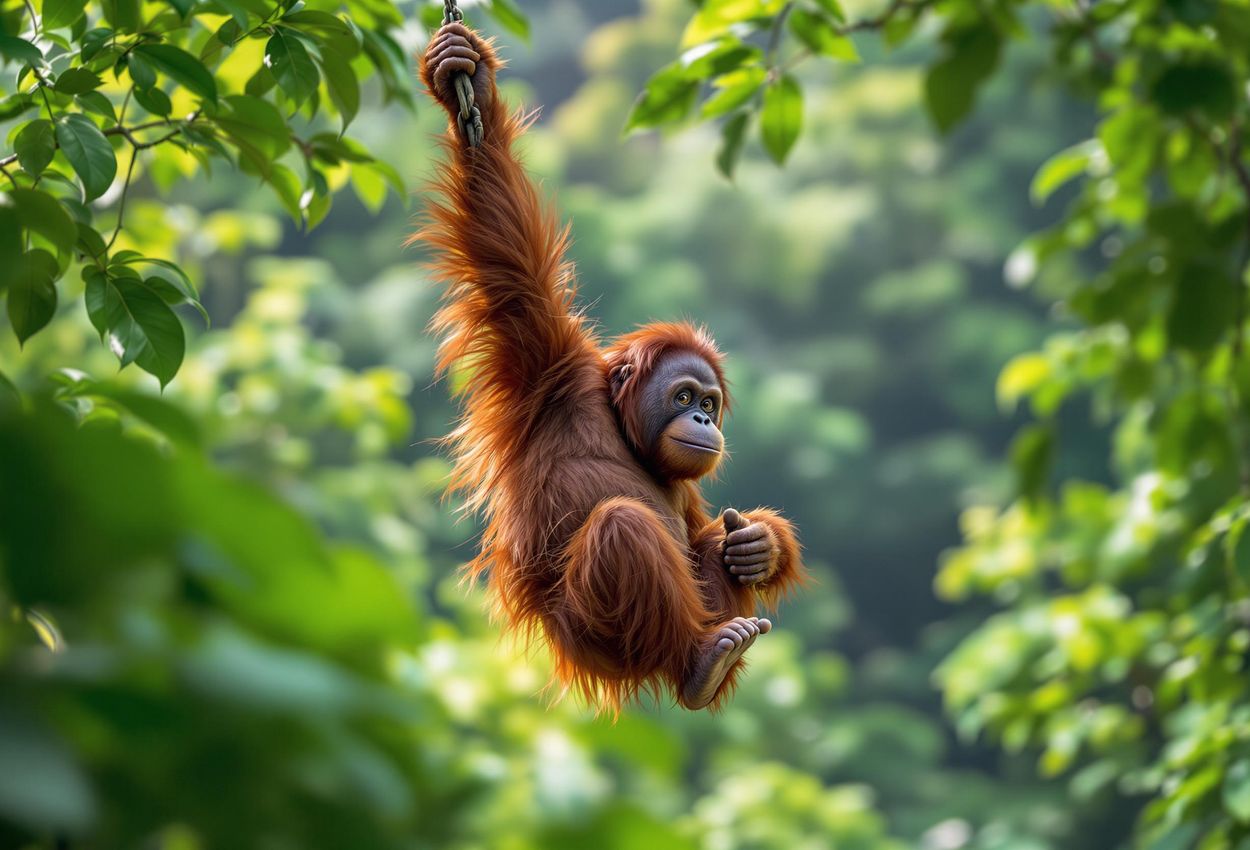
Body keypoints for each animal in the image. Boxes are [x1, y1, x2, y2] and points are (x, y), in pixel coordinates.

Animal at [417, 22, 805, 711]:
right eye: (685, 397)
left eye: (710, 404)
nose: (704, 424)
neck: (620, 423)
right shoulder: (551, 367)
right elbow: (511, 267)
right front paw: (471, 85)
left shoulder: (684, 480)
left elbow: (705, 525)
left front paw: (764, 544)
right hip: (593, 632)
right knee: (622, 524)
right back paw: (701, 660)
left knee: (713, 540)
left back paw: (716, 648)